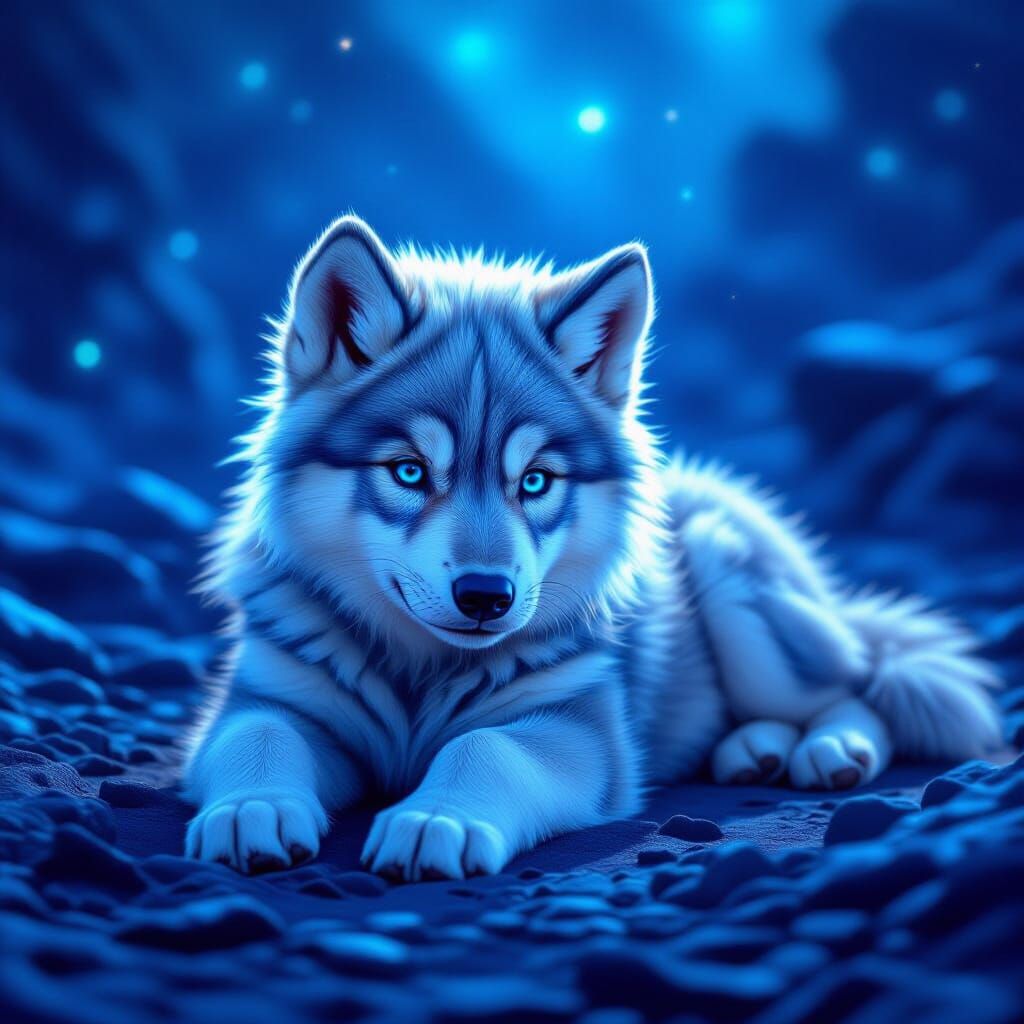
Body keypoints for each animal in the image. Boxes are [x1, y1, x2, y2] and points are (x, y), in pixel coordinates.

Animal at [183, 215, 1002, 880]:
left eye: (535, 482)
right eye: (410, 472)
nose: (487, 598)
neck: (421, 674)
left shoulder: (579, 731)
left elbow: (483, 748)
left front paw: (433, 818)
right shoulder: (267, 699)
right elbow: (259, 734)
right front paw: (250, 809)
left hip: (741, 596)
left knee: (862, 684)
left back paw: (829, 750)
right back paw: (754, 749)